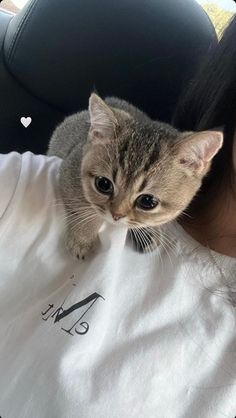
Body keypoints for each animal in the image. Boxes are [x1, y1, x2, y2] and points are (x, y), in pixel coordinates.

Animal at [47, 93, 223, 260]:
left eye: (148, 201)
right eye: (103, 184)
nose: (116, 215)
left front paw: (149, 231)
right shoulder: (71, 169)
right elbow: (83, 208)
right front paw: (81, 239)